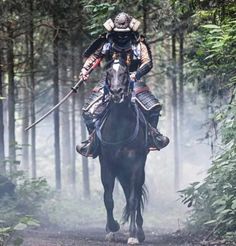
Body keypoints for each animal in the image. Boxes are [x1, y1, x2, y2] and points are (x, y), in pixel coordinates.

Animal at [95, 59, 148, 244]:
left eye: (125, 73)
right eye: (108, 73)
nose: (116, 92)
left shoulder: (136, 164)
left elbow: (133, 200)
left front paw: (133, 235)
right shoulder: (107, 164)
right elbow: (108, 198)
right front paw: (112, 228)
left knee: (135, 195)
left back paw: (140, 231)